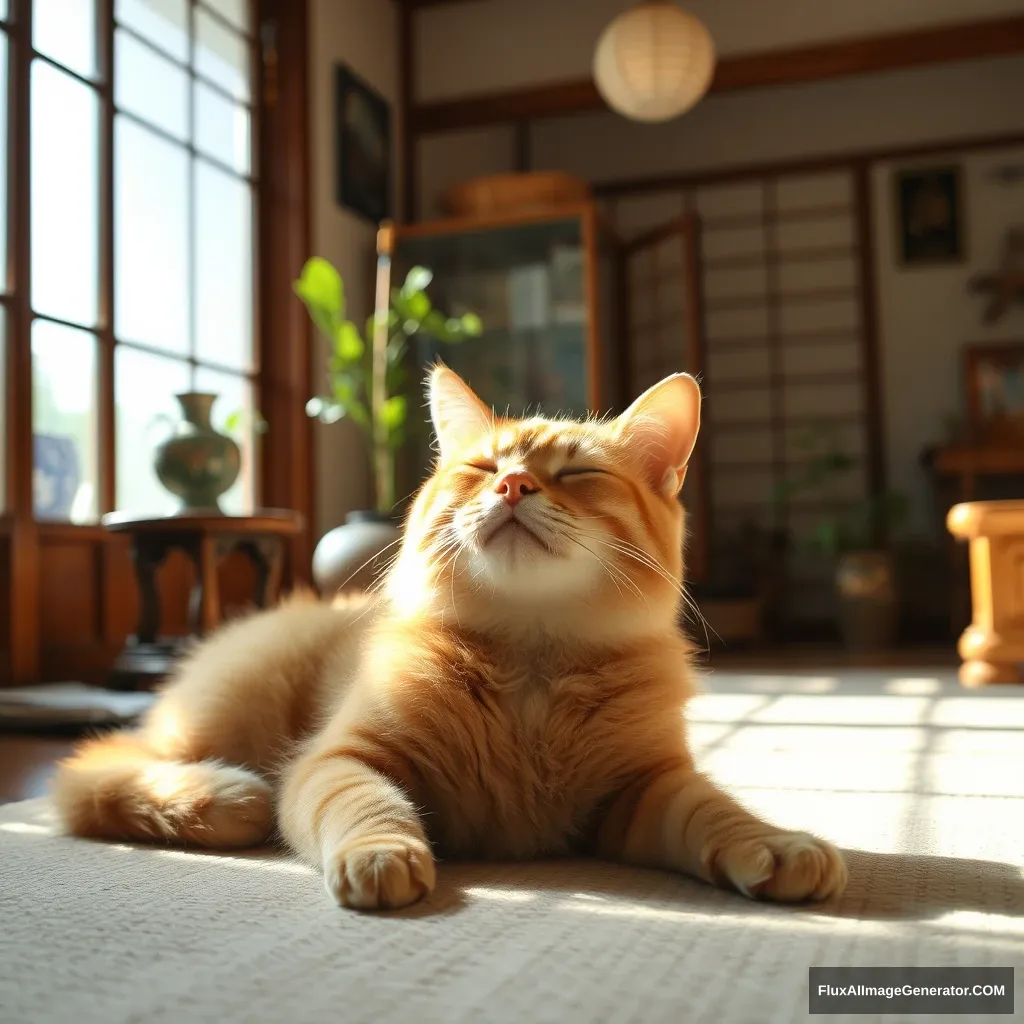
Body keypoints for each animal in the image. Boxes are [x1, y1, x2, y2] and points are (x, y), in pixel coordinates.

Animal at [49, 364, 847, 909]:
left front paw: (777, 844)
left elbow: (715, 812)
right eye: (482, 467)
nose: (513, 487)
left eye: (578, 473)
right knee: (89, 773)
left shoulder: (644, 790)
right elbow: (368, 805)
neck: (532, 669)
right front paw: (383, 853)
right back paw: (219, 798)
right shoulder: (339, 760)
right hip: (227, 716)